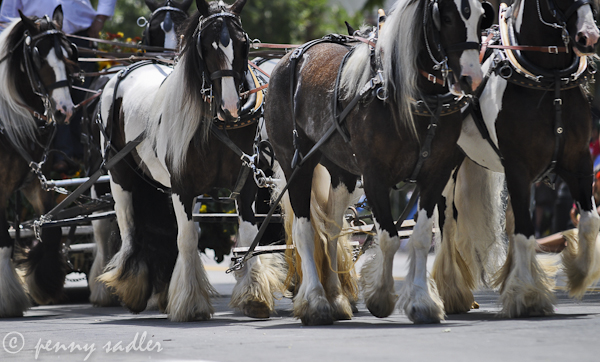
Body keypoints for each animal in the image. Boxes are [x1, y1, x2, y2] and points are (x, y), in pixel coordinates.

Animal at [98, 0, 286, 322]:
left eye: (243, 43)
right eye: (206, 46)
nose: (231, 106)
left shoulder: (246, 183)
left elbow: (248, 234)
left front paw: (254, 297)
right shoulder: (183, 188)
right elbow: (186, 238)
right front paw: (190, 304)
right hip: (119, 176)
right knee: (129, 229)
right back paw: (132, 286)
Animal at [266, 0, 488, 326]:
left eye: (482, 18)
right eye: (446, 18)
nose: (471, 78)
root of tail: (288, 58)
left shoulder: (435, 174)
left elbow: (421, 237)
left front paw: (422, 301)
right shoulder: (374, 178)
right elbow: (389, 239)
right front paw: (382, 296)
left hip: (341, 173)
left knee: (331, 230)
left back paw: (336, 298)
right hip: (297, 165)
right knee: (304, 231)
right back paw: (316, 302)